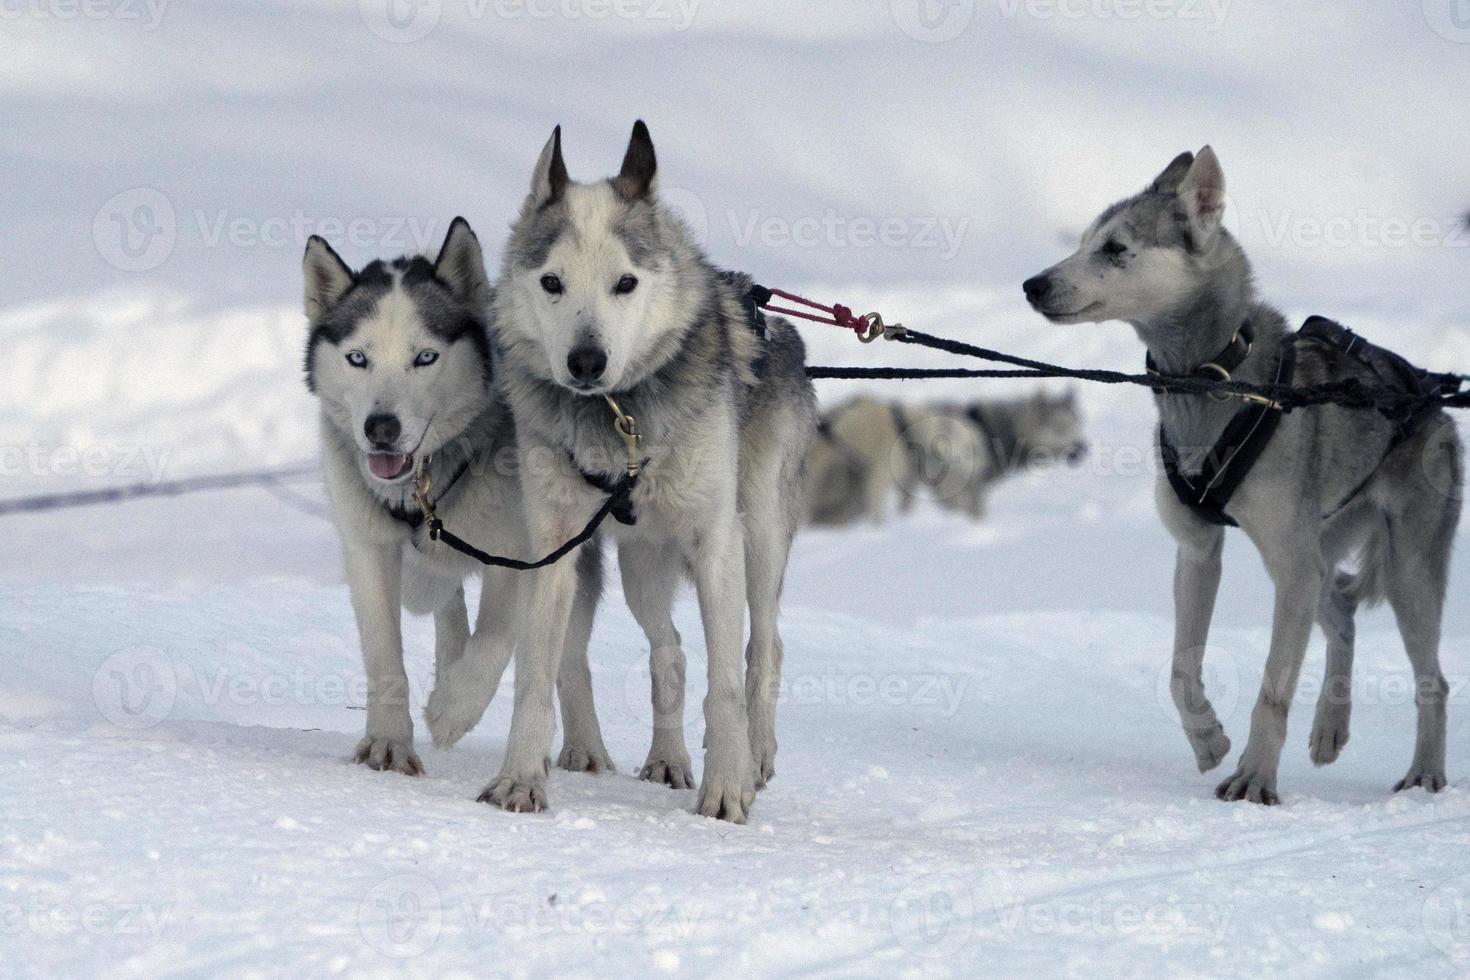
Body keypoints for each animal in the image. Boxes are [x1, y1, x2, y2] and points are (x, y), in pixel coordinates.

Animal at [304, 221, 614, 781]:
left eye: (425, 357)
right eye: (358, 358)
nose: (380, 429)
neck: (425, 485)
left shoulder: (521, 555)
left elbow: (493, 642)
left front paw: (451, 712)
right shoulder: (368, 550)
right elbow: (384, 654)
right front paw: (388, 742)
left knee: (567, 654)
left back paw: (583, 746)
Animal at [488, 122, 817, 822]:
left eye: (625, 283)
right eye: (552, 282)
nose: (586, 361)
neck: (620, 420)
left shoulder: (716, 543)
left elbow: (726, 683)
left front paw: (727, 787)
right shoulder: (554, 549)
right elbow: (536, 674)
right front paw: (519, 780)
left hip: (760, 542)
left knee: (762, 648)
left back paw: (757, 753)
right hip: (642, 567)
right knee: (669, 650)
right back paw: (661, 757)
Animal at [805, 393, 1081, 528]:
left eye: (1077, 424)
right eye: (1060, 427)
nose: (1082, 448)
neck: (987, 429)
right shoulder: (959, 491)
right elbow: (971, 512)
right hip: (875, 479)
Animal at [1029, 147, 1464, 805]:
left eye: (1115, 247)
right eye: (1081, 242)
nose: (1032, 284)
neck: (1214, 378)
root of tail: (1431, 397)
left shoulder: (1290, 568)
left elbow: (1272, 690)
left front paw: (1256, 777)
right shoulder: (1199, 550)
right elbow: (1181, 670)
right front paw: (1209, 740)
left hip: (1403, 572)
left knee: (1432, 680)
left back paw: (1425, 775)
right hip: (1317, 557)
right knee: (1341, 610)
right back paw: (1330, 728)